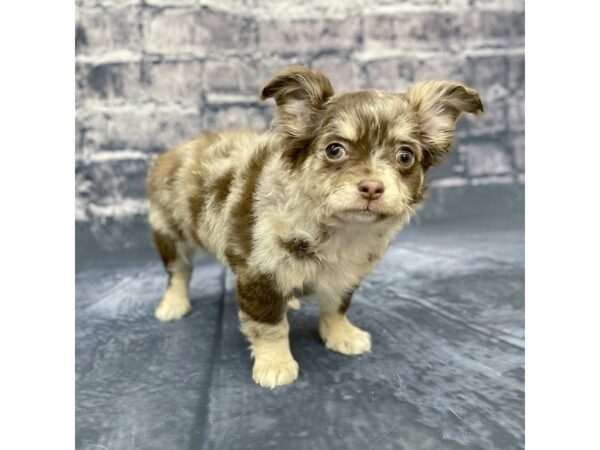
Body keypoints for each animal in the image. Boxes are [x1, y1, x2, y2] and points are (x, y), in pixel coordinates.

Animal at [146, 65, 482, 388]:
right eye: (334, 150)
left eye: (405, 156)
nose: (372, 188)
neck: (339, 231)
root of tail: (174, 150)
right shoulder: (258, 272)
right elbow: (270, 326)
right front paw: (275, 364)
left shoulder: (344, 276)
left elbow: (336, 308)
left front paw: (341, 336)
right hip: (169, 233)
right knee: (179, 273)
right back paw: (173, 305)